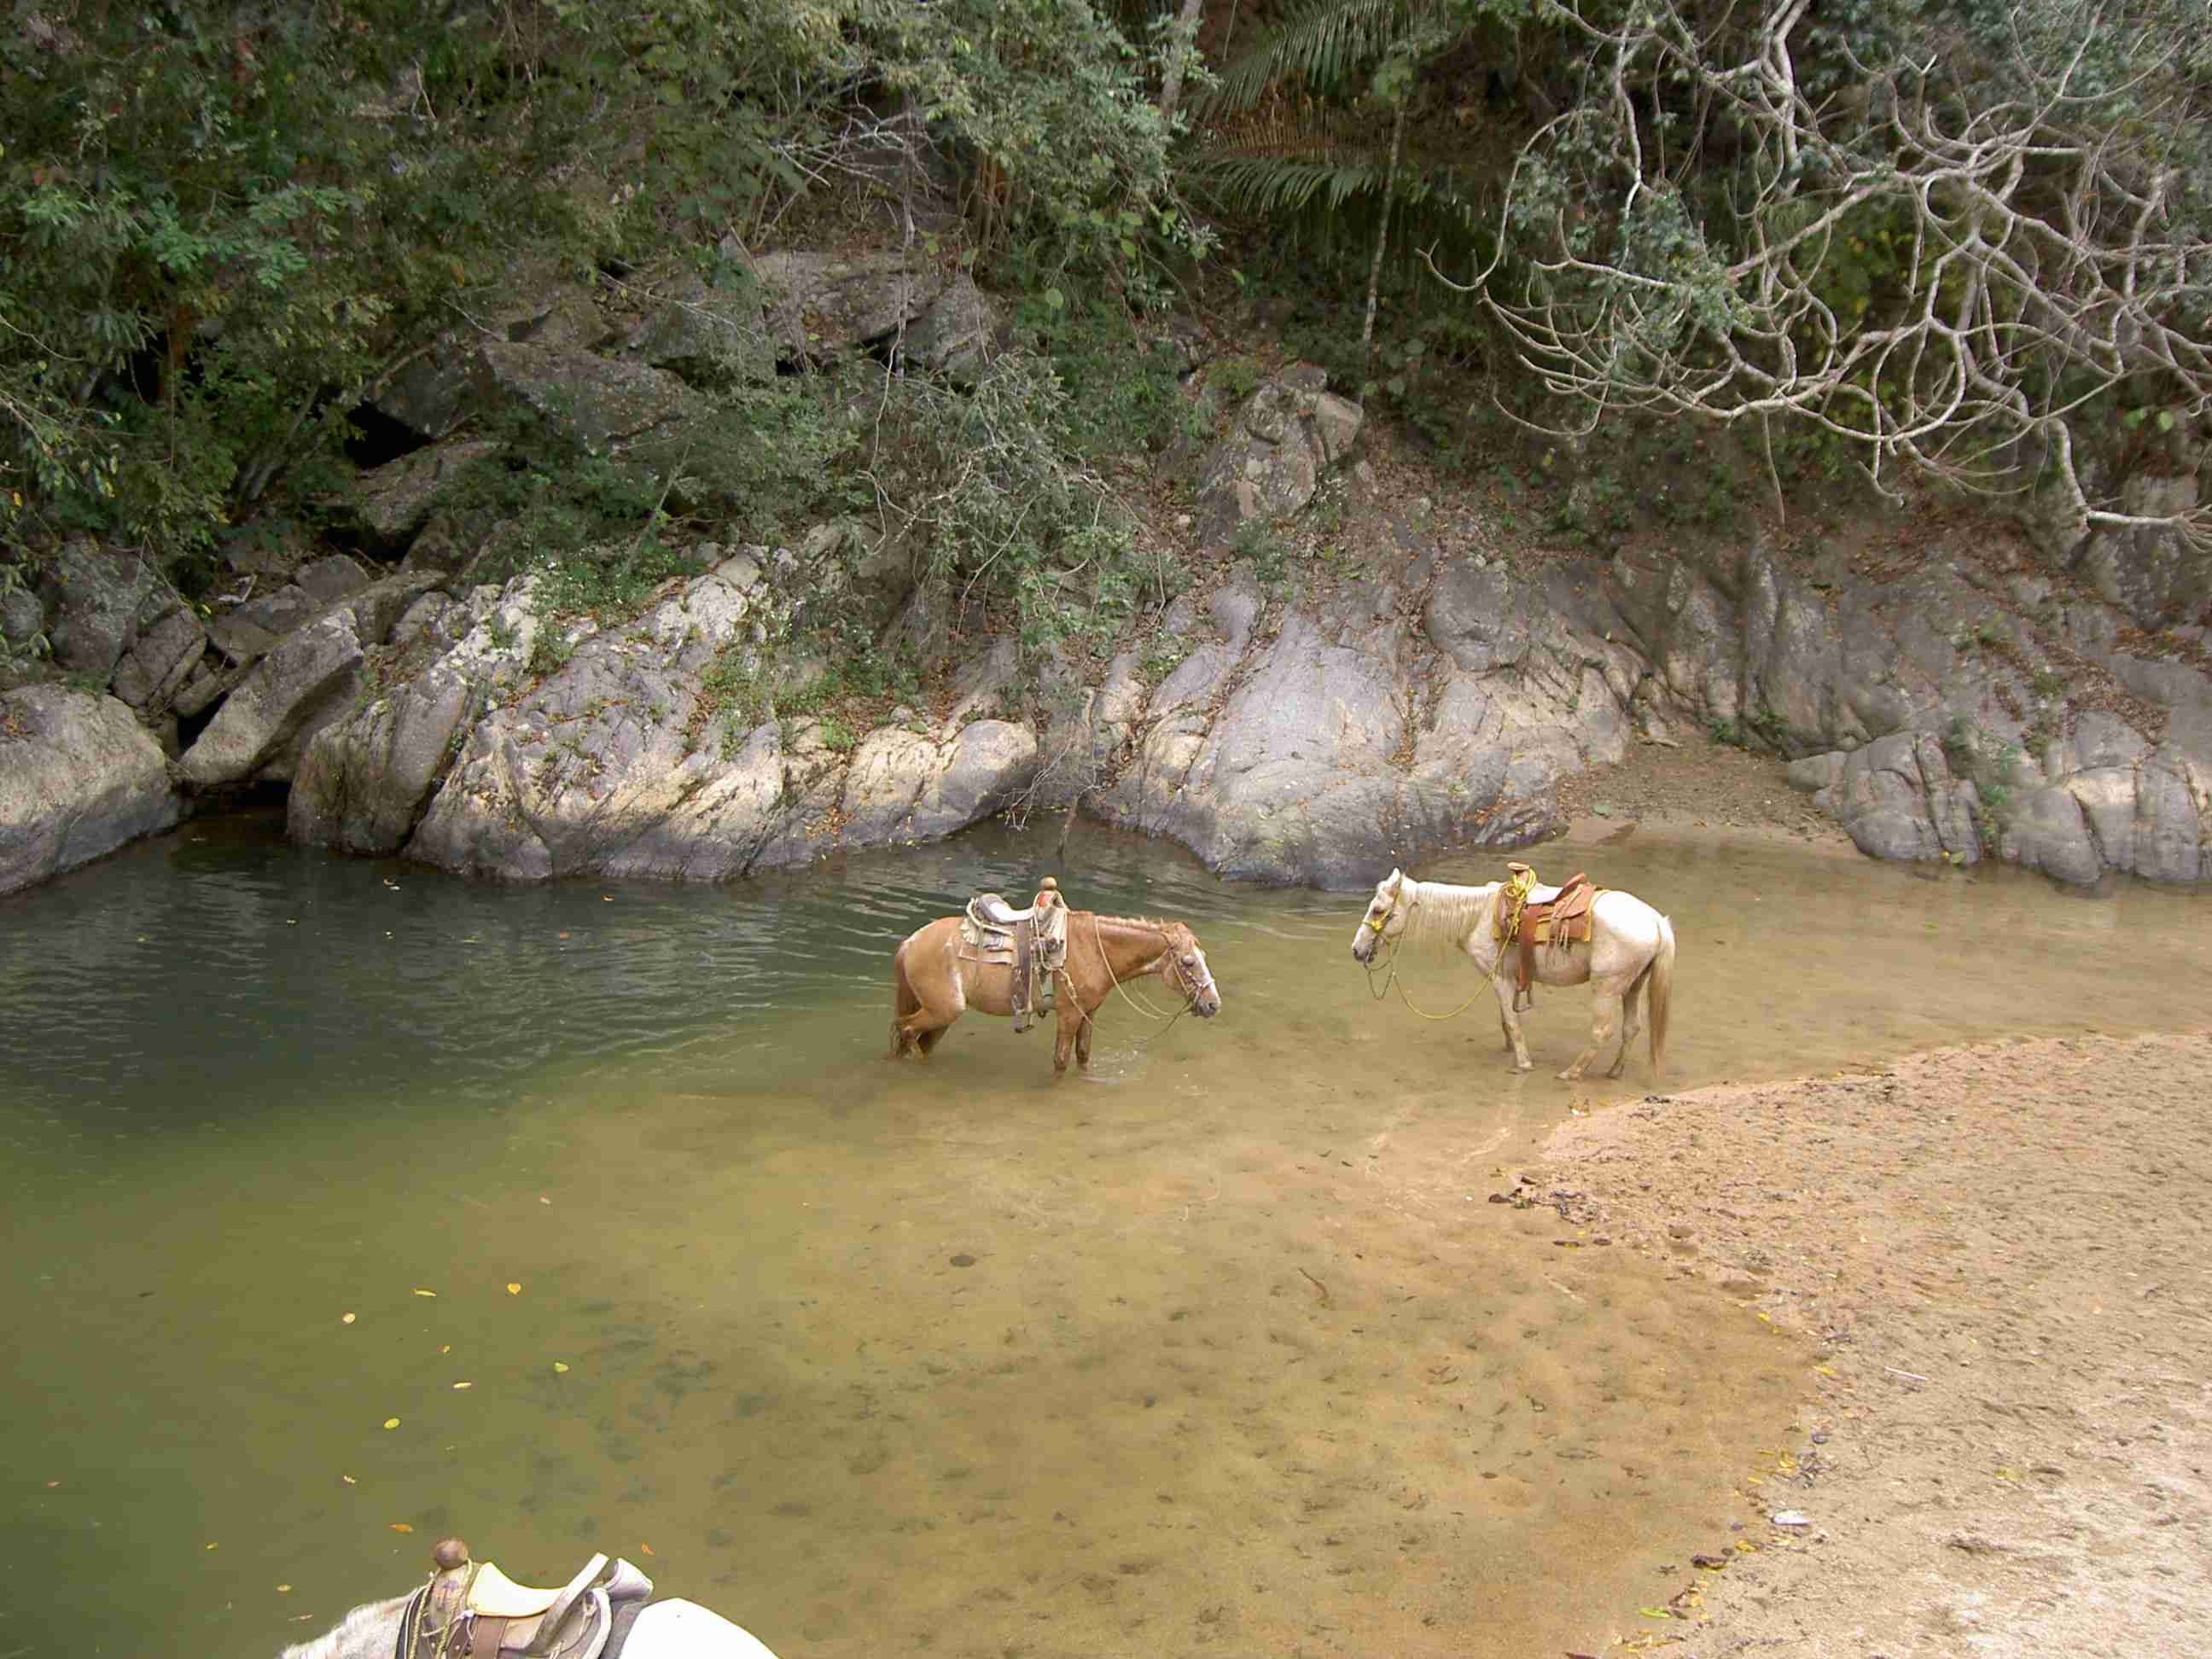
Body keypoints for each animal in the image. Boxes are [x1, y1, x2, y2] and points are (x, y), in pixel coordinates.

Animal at [892, 909, 1222, 1075]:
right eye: (1188, 962)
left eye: (1204, 956)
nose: (1213, 1004)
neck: (1094, 949)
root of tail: (911, 942)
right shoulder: (1069, 1014)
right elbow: (1061, 1060)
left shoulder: (1089, 1013)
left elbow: (1083, 1055)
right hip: (943, 1010)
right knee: (906, 1031)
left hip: (941, 1016)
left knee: (916, 1039)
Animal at [1348, 867, 1675, 1081]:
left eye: (1378, 910)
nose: (1357, 950)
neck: (1478, 916)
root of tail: (1657, 921)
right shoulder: (1508, 978)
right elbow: (1507, 1019)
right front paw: (1509, 1049)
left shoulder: (1500, 980)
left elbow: (1513, 1022)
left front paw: (1523, 1063)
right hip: (1633, 985)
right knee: (1631, 1028)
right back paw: (1615, 1071)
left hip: (1606, 987)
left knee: (1602, 1031)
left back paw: (1571, 1072)